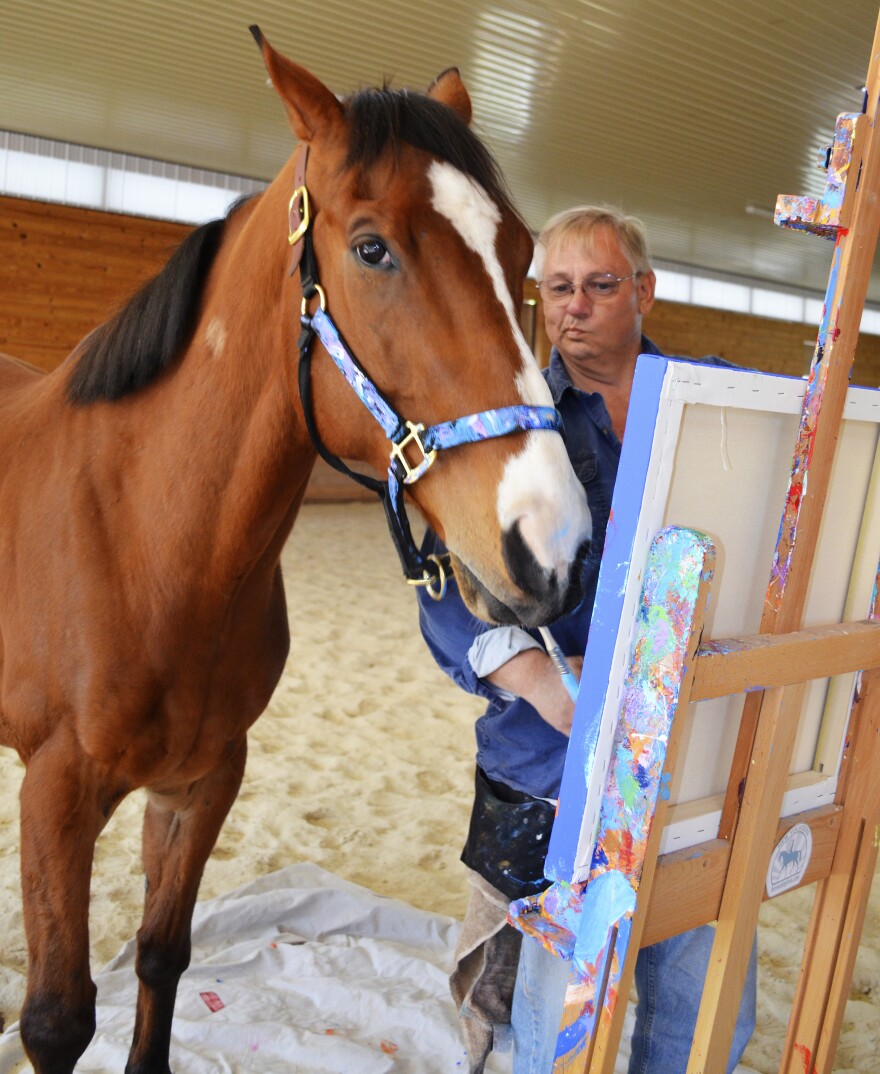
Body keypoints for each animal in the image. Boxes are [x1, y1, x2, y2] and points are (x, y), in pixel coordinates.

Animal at [0, 27, 593, 1074]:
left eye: (520, 253)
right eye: (371, 248)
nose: (551, 543)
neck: (148, 549)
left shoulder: (202, 783)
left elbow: (161, 957)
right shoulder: (56, 797)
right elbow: (58, 1019)